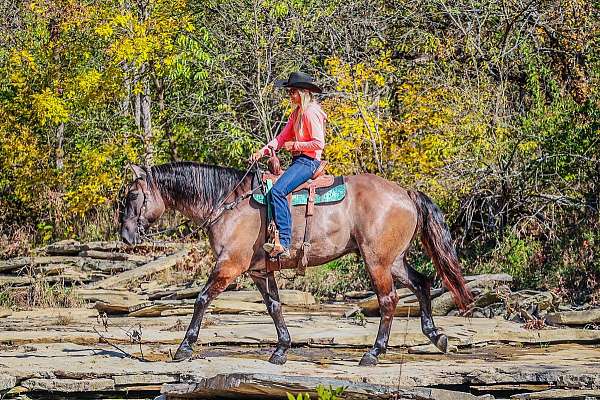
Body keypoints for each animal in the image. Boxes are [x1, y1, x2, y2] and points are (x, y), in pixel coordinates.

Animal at [118, 162, 474, 366]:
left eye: (133, 196)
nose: (125, 235)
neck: (226, 202)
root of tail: (405, 192)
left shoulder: (229, 265)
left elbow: (202, 299)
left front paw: (184, 347)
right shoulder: (259, 271)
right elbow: (275, 307)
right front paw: (281, 350)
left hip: (377, 261)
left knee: (389, 300)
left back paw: (373, 353)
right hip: (394, 260)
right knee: (422, 284)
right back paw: (437, 336)